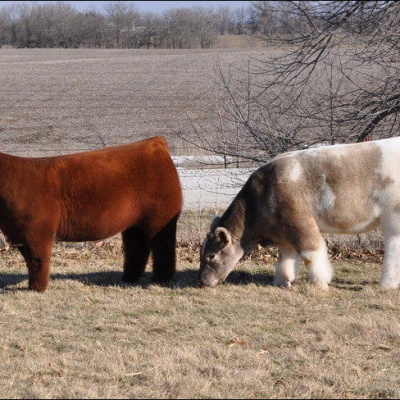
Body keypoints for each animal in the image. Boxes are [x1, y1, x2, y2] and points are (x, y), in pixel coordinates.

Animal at [0, 136, 182, 292]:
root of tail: (155, 143)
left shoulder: (37, 231)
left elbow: (38, 261)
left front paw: (37, 289)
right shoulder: (20, 234)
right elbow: (30, 262)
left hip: (160, 218)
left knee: (163, 248)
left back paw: (161, 279)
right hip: (134, 224)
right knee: (137, 248)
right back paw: (129, 278)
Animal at [200, 138, 400, 290]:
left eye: (211, 256)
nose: (202, 281)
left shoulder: (299, 223)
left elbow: (311, 254)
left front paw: (320, 283)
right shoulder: (281, 232)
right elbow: (285, 256)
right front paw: (282, 281)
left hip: (394, 216)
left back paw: (387, 284)